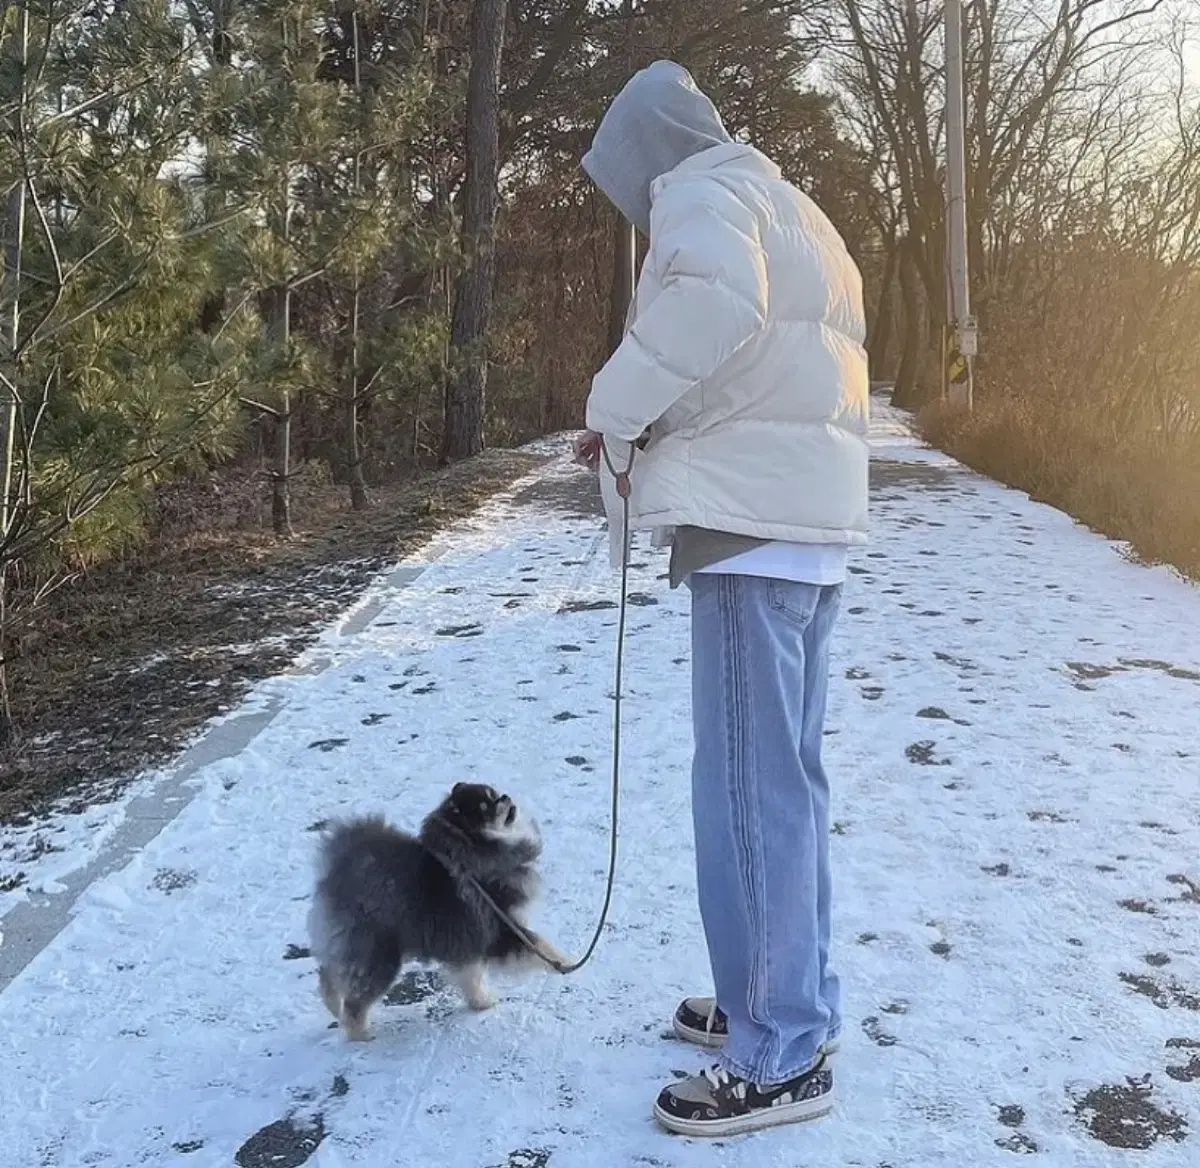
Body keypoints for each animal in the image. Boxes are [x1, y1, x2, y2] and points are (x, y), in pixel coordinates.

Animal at [304, 782, 566, 1037]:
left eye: (493, 793)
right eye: (486, 809)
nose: (504, 797)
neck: (475, 853)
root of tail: (338, 869)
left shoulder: (468, 936)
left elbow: (472, 975)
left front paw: (480, 1002)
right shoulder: (502, 927)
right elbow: (543, 947)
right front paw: (568, 963)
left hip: (346, 944)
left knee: (328, 975)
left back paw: (334, 1008)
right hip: (379, 956)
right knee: (355, 1001)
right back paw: (361, 1035)